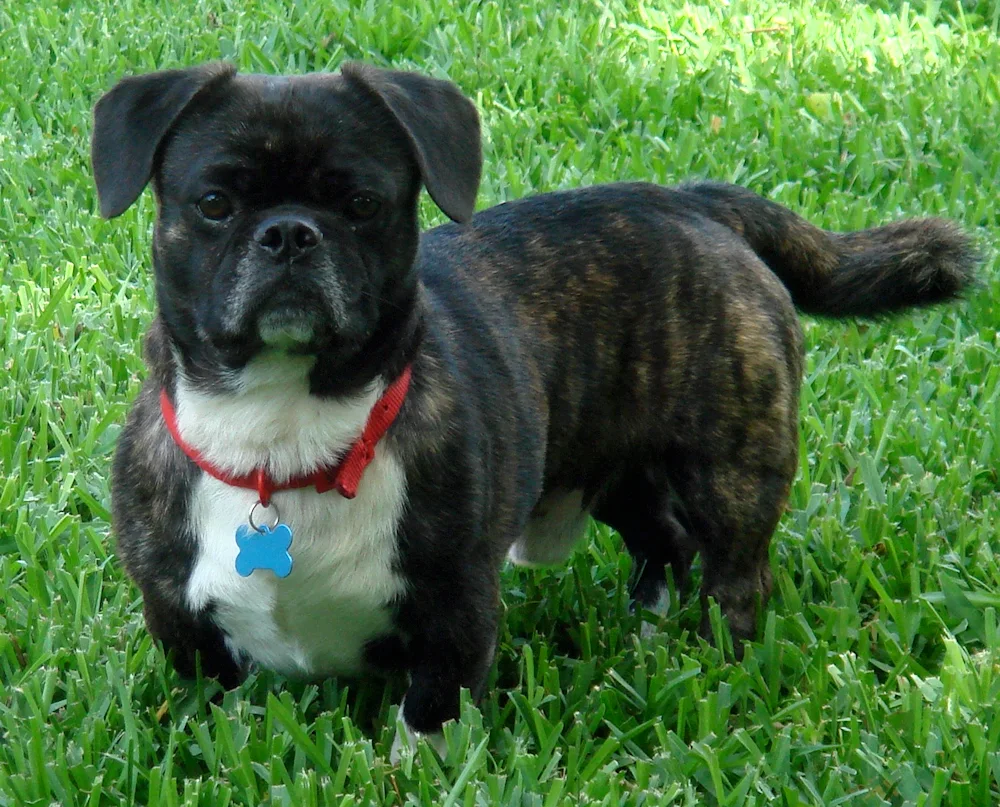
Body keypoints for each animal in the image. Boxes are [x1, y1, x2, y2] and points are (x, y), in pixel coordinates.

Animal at [88, 61, 976, 756]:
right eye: (213, 203)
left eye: (363, 203)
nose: (289, 233)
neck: (285, 435)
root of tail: (694, 202)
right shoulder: (181, 621)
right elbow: (216, 704)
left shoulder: (454, 610)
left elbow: (428, 719)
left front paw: (416, 776)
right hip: (614, 464)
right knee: (662, 540)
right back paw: (649, 641)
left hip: (731, 471)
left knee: (732, 572)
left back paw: (714, 659)